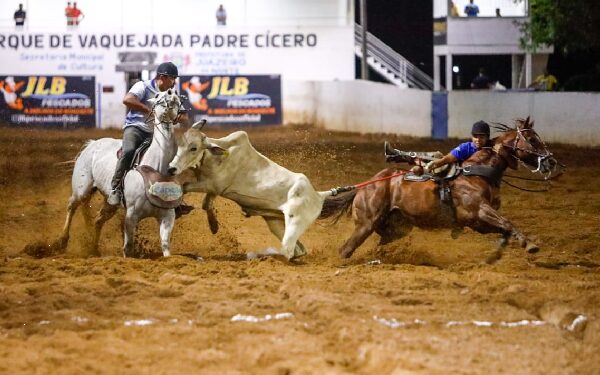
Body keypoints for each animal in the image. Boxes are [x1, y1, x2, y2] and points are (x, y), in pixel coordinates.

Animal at [55, 89, 183, 258]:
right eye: (156, 95)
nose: (171, 92)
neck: (156, 167)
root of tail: (92, 144)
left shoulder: (168, 216)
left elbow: (166, 246)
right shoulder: (131, 215)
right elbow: (128, 247)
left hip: (110, 203)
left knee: (97, 220)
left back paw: (93, 249)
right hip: (81, 189)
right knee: (72, 206)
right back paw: (62, 241)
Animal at [166, 126, 340, 262]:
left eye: (193, 148)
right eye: (178, 144)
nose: (172, 168)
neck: (218, 156)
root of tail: (318, 195)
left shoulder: (212, 185)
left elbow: (184, 187)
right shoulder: (213, 189)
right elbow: (205, 203)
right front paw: (214, 226)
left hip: (295, 222)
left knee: (289, 250)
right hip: (275, 222)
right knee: (299, 251)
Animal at [322, 119, 560, 262]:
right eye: (532, 139)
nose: (551, 161)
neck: (476, 172)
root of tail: (365, 186)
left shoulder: (476, 222)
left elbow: (504, 229)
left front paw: (495, 256)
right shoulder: (478, 212)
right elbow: (507, 223)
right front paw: (530, 245)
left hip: (395, 228)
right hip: (366, 224)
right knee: (345, 250)